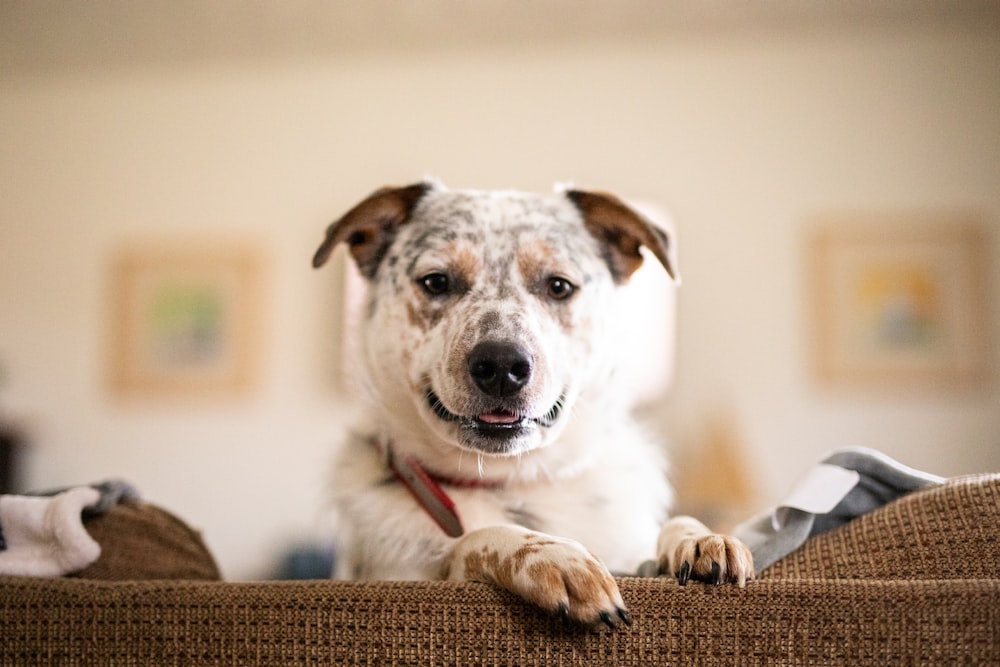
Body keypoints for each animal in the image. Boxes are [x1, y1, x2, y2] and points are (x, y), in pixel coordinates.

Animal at [312, 180, 752, 628]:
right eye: (436, 282)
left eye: (558, 286)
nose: (502, 365)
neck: (514, 478)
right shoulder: (398, 572)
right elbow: (475, 539)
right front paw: (554, 556)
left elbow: (671, 530)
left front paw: (699, 538)